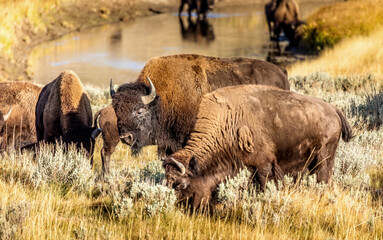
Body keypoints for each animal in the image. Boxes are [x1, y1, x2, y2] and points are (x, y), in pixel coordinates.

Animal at [112, 53, 292, 158]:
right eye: (116, 111)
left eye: (140, 110)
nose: (126, 137)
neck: (162, 98)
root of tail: (281, 71)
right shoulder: (166, 145)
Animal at [164, 85, 352, 209]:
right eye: (167, 183)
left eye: (180, 185)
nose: (183, 208)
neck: (227, 121)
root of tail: (333, 109)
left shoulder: (263, 165)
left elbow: (264, 184)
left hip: (323, 158)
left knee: (323, 178)